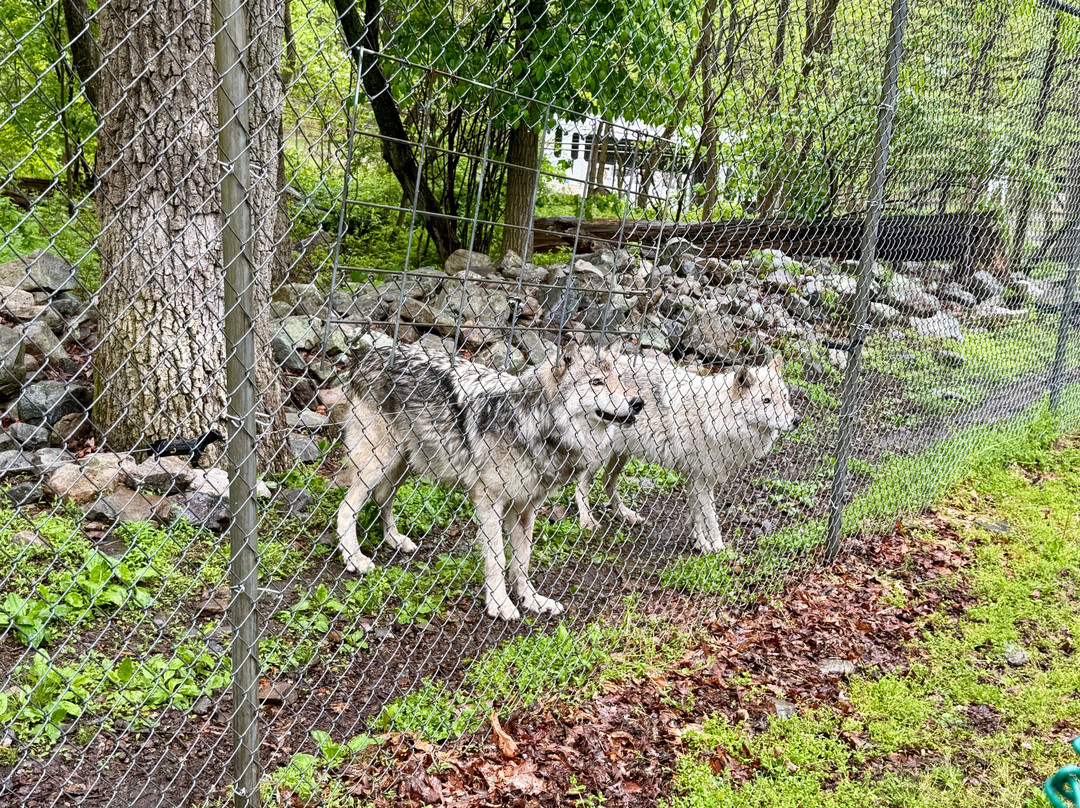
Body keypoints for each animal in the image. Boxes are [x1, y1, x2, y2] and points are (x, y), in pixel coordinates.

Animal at [335, 342, 644, 620]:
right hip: (378, 462)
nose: (638, 402)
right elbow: (498, 558)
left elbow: (523, 560)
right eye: (597, 382)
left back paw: (395, 540)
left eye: (621, 381)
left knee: (383, 501)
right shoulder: (490, 501)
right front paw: (500, 604)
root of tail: (369, 354)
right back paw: (354, 558)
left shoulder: (526, 507)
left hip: (403, 466)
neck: (533, 423)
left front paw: (532, 600)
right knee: (346, 507)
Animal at [574, 353, 800, 551]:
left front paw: (697, 541)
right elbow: (710, 517)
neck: (716, 416)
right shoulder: (700, 479)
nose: (796, 420)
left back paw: (624, 514)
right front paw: (717, 548)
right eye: (767, 400)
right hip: (600, 455)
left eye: (785, 397)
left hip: (621, 454)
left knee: (607, 480)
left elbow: (697, 515)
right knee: (580, 484)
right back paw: (587, 521)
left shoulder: (699, 478)